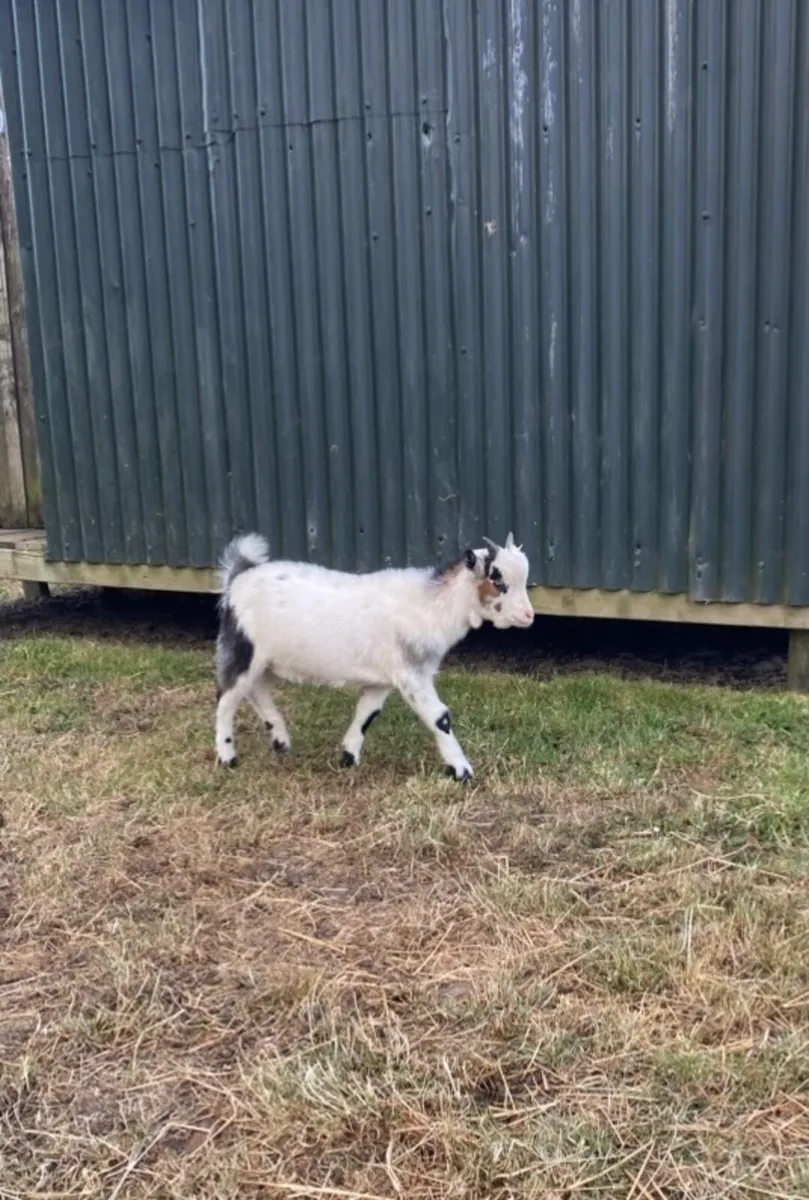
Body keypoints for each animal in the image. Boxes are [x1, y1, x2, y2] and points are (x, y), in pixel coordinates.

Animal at [214, 532, 534, 781]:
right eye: (497, 580)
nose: (528, 616)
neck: (432, 606)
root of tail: (238, 577)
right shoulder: (411, 674)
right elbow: (439, 717)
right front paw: (462, 771)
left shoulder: (384, 678)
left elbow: (367, 713)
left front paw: (348, 757)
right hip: (242, 648)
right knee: (226, 699)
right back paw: (228, 758)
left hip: (262, 660)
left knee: (256, 690)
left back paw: (281, 742)